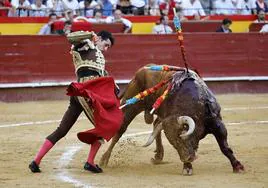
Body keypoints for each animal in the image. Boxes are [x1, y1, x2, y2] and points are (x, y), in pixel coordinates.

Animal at [99, 65, 245, 175]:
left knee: (155, 125)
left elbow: (225, 147)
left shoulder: (218, 124)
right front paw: (187, 167)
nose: (188, 158)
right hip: (130, 105)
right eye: (174, 143)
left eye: (183, 135)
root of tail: (140, 71)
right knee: (120, 131)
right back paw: (104, 159)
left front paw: (237, 166)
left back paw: (159, 156)